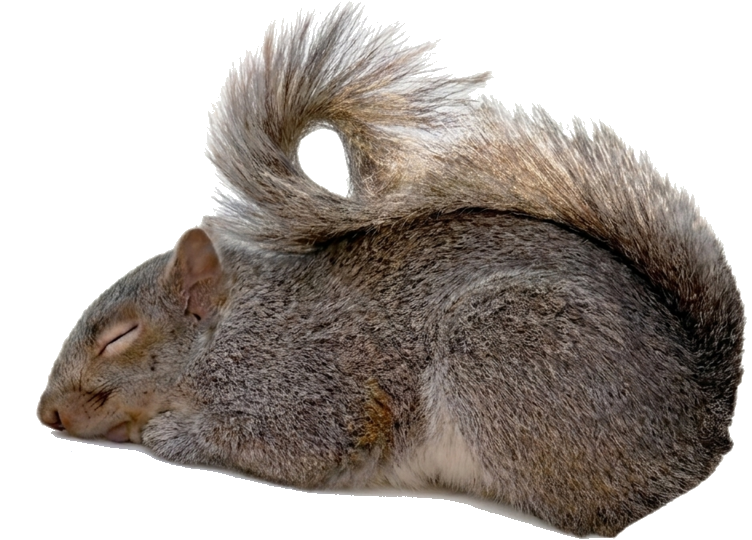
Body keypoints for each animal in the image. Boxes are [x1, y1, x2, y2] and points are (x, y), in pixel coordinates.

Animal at [38, 5, 743, 537]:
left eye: (121, 337)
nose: (47, 415)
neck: (239, 331)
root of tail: (700, 414)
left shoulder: (305, 387)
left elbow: (289, 443)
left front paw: (165, 433)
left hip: (506, 347)